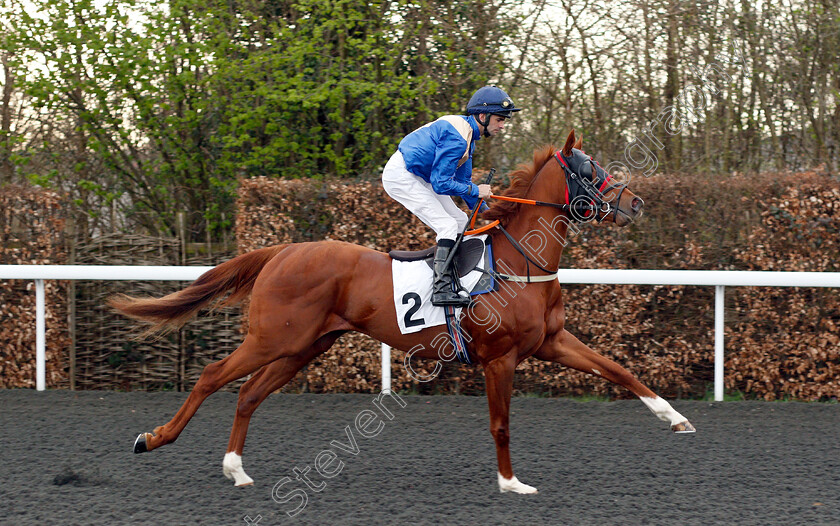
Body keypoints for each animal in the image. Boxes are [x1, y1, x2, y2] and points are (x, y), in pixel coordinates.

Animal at [111, 131, 696, 496]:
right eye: (588, 169)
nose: (636, 203)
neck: (518, 262)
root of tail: (282, 250)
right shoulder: (500, 358)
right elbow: (501, 424)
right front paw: (512, 483)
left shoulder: (551, 342)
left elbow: (618, 370)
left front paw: (676, 418)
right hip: (273, 337)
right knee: (213, 375)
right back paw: (153, 439)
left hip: (304, 345)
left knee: (249, 394)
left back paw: (236, 469)